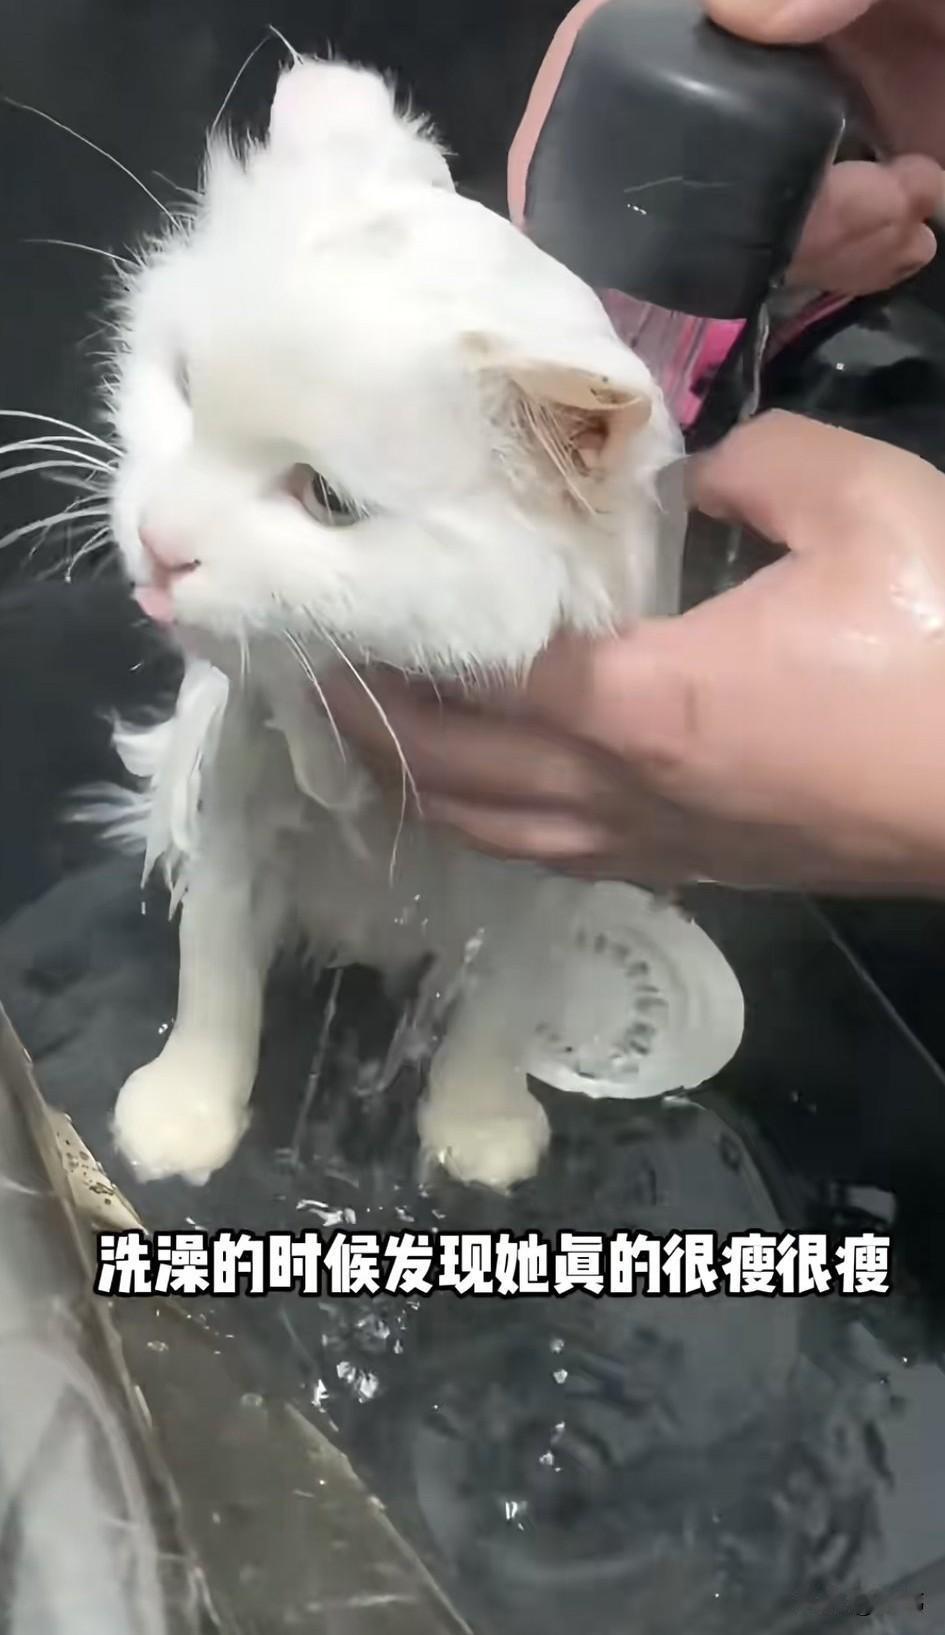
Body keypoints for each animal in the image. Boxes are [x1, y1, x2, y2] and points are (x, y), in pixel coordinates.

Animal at [96, 55, 684, 1190]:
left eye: (325, 498)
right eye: (183, 389)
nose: (160, 542)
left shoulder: (546, 866)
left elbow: (499, 1013)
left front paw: (480, 1129)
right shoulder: (237, 819)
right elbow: (215, 980)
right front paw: (184, 1118)